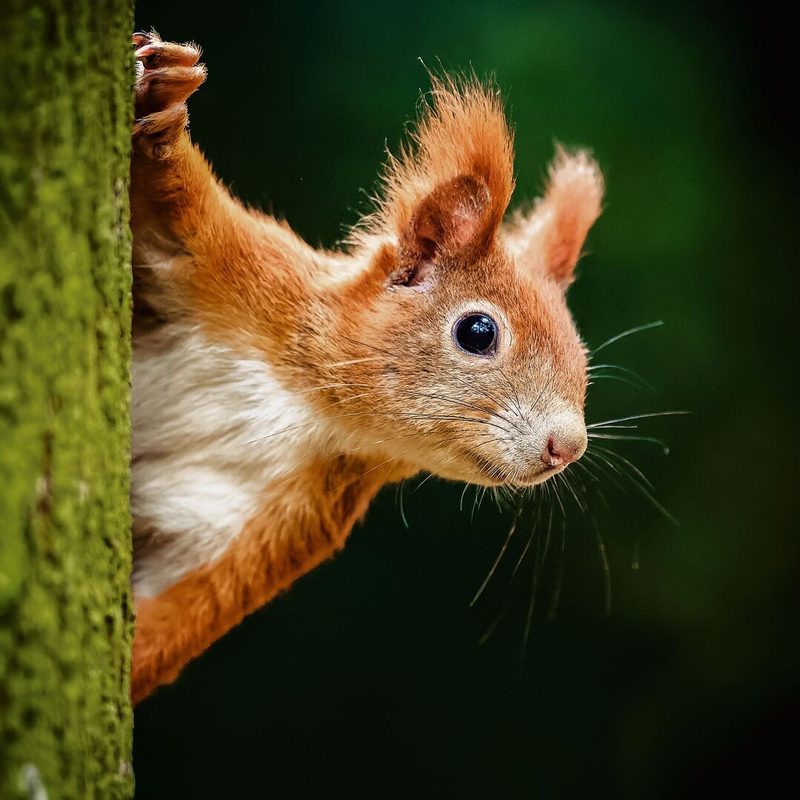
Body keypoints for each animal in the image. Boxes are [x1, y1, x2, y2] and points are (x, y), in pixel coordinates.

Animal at [130, 31, 604, 704]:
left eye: (583, 361)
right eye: (478, 332)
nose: (568, 446)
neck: (310, 403)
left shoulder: (271, 522)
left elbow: (176, 612)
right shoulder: (232, 268)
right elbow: (175, 205)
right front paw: (165, 108)